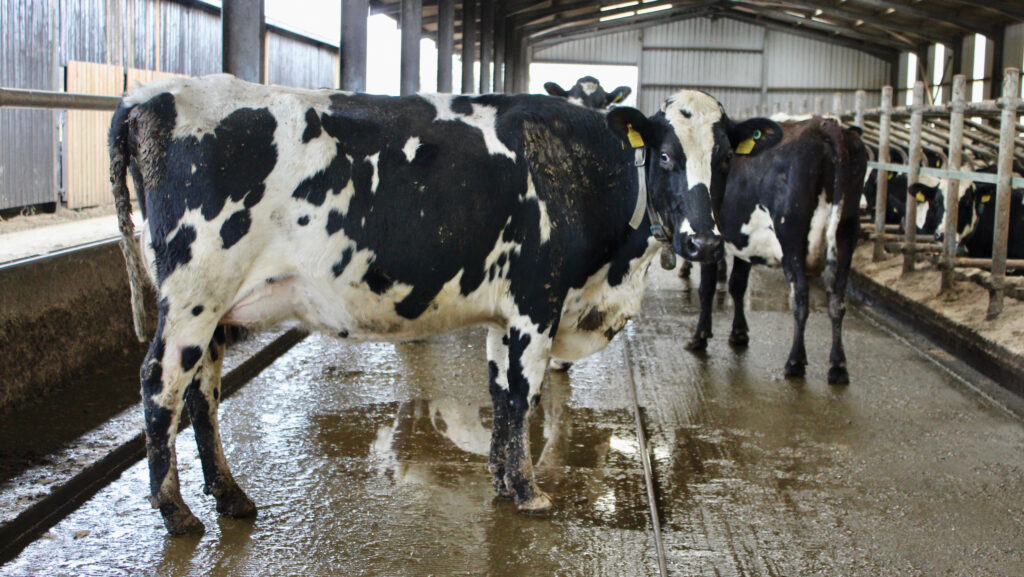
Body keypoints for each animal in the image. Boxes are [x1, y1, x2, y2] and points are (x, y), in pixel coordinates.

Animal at [684, 115, 868, 385]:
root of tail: (825, 125)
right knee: (837, 299)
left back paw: (795, 361)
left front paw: (700, 337)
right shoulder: (744, 241)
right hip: (847, 234)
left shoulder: (710, 241)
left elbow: (707, 288)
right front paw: (738, 333)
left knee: (800, 296)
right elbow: (737, 284)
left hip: (791, 234)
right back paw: (838, 366)